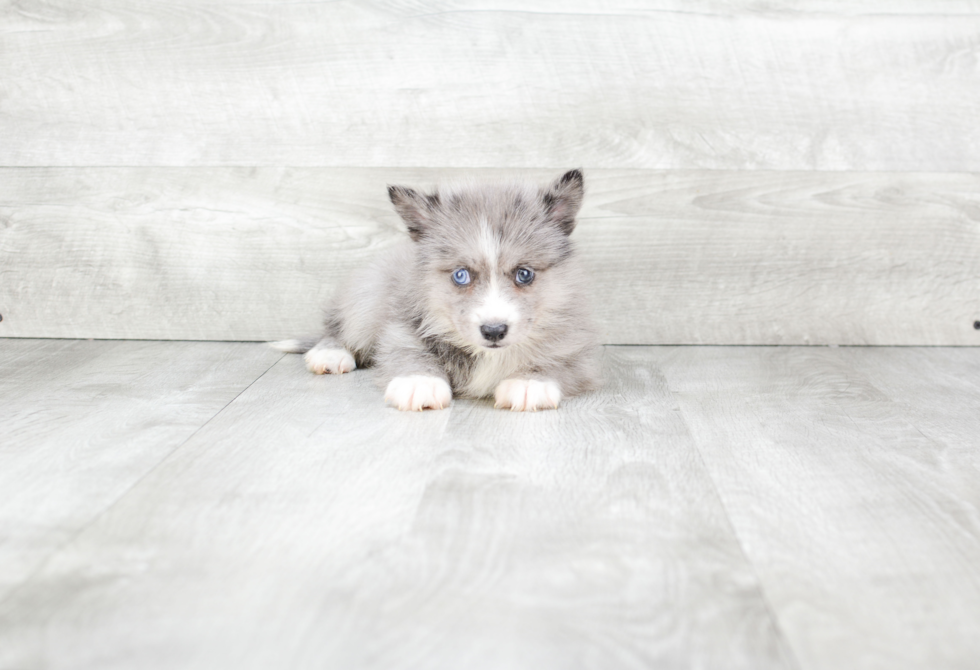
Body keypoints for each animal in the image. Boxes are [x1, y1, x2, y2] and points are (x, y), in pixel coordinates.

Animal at [272, 168, 600, 412]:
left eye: (524, 274)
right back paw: (330, 354)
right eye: (460, 275)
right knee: (336, 328)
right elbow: (411, 354)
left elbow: (558, 363)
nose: (493, 331)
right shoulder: (400, 330)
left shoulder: (578, 351)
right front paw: (420, 382)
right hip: (368, 295)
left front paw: (530, 382)